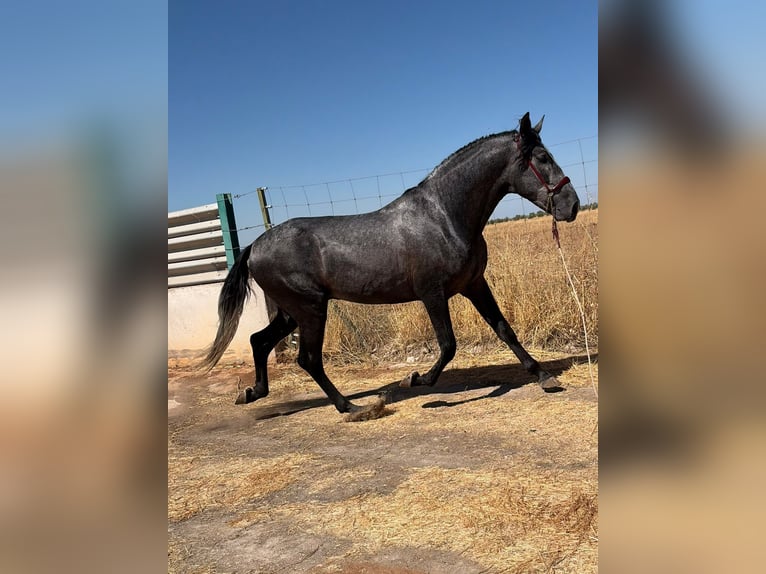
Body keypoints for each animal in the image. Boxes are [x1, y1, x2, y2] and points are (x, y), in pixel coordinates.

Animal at [201, 112, 580, 416]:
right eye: (543, 157)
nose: (572, 205)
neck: (444, 216)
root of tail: (255, 246)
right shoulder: (432, 293)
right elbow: (448, 344)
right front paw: (417, 379)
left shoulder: (474, 285)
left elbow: (504, 329)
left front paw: (545, 377)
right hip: (310, 309)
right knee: (307, 359)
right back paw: (352, 407)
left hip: (290, 311)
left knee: (259, 341)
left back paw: (253, 393)